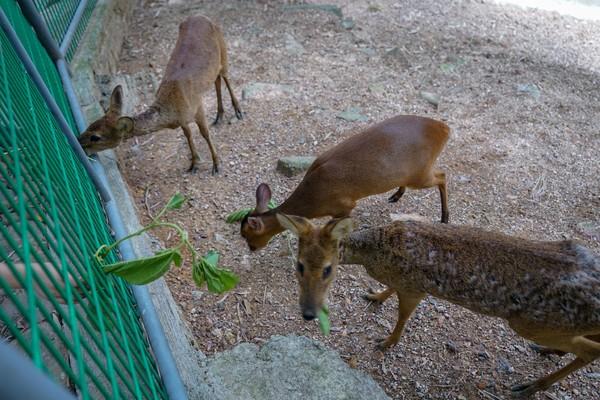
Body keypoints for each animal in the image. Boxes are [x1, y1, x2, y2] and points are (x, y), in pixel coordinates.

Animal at [77, 14, 241, 174]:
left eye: (96, 137)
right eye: (90, 124)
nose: (79, 141)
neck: (172, 109)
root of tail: (202, 16)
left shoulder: (197, 106)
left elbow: (205, 133)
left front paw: (216, 165)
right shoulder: (182, 120)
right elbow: (188, 135)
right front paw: (194, 164)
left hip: (223, 49)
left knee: (225, 77)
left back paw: (238, 112)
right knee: (217, 80)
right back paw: (219, 116)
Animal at [239, 114, 450, 250]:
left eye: (246, 234)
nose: (252, 249)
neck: (312, 201)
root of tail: (443, 129)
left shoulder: (344, 205)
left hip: (420, 173)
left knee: (442, 175)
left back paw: (445, 217)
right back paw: (396, 195)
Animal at [278, 216, 600, 400]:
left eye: (328, 269)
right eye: (299, 264)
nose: (308, 312)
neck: (377, 252)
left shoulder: (415, 288)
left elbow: (402, 317)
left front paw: (386, 342)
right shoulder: (403, 282)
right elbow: (389, 292)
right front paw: (375, 296)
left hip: (532, 323)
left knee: (590, 351)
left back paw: (529, 386)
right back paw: (550, 354)